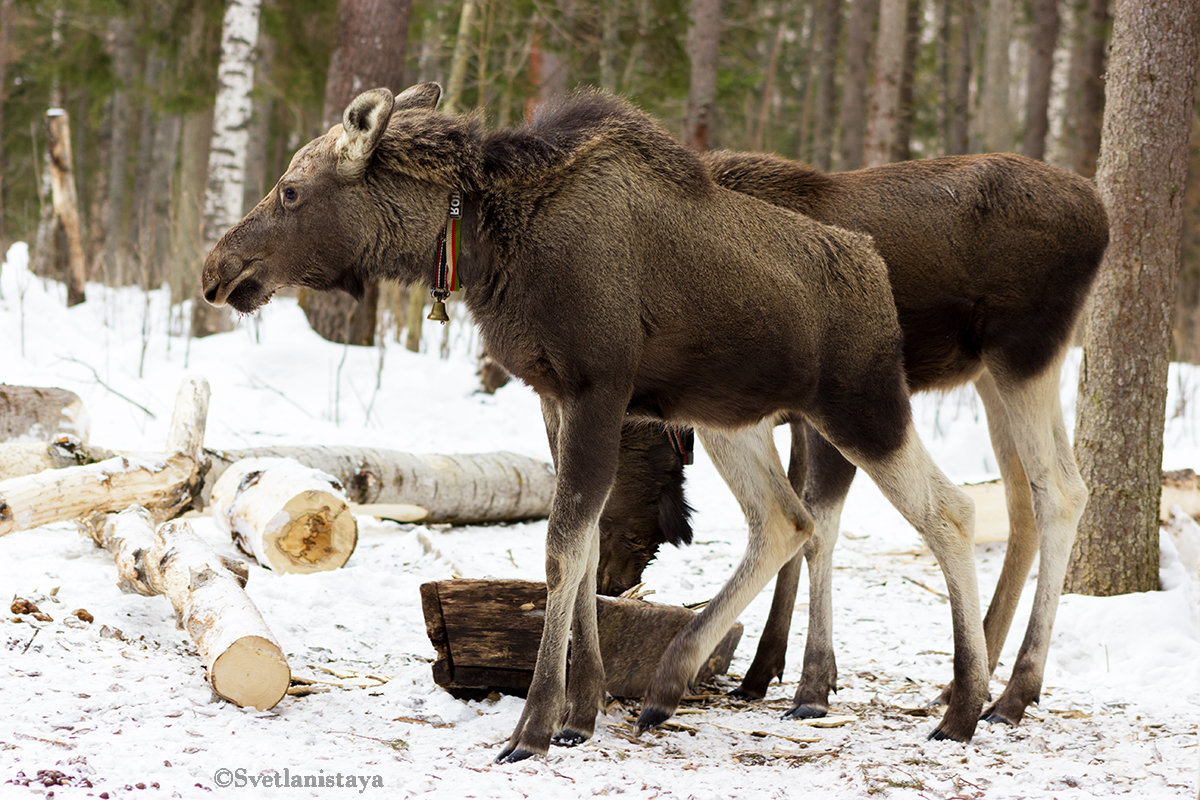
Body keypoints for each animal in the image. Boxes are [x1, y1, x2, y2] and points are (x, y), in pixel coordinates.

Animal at [206, 82, 988, 762]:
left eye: (291, 189)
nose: (217, 269)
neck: (485, 247)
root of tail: (875, 270)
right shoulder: (554, 394)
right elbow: (584, 549)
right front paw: (580, 714)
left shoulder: (597, 387)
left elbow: (561, 550)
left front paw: (533, 726)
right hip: (729, 419)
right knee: (785, 520)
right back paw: (670, 684)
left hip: (864, 404)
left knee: (949, 512)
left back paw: (964, 708)